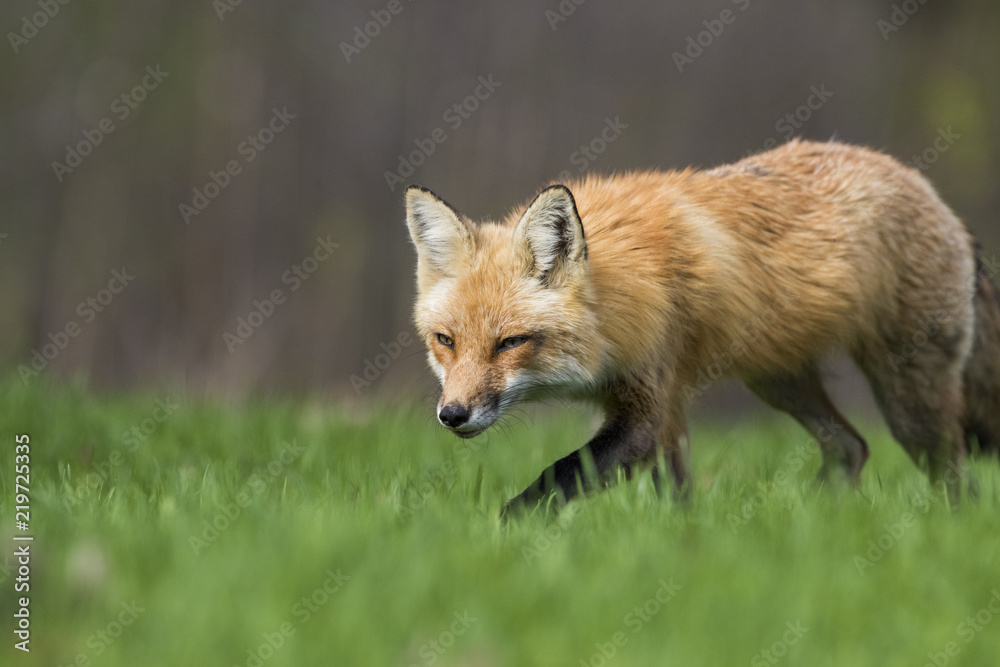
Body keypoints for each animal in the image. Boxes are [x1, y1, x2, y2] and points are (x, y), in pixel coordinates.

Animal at [406, 140, 1000, 512]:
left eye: (511, 342)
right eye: (446, 342)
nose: (452, 415)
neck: (620, 297)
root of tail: (927, 188)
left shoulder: (649, 399)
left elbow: (557, 479)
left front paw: (495, 534)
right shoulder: (663, 402)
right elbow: (678, 494)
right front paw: (689, 547)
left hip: (910, 403)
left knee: (957, 481)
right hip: (778, 380)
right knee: (849, 447)